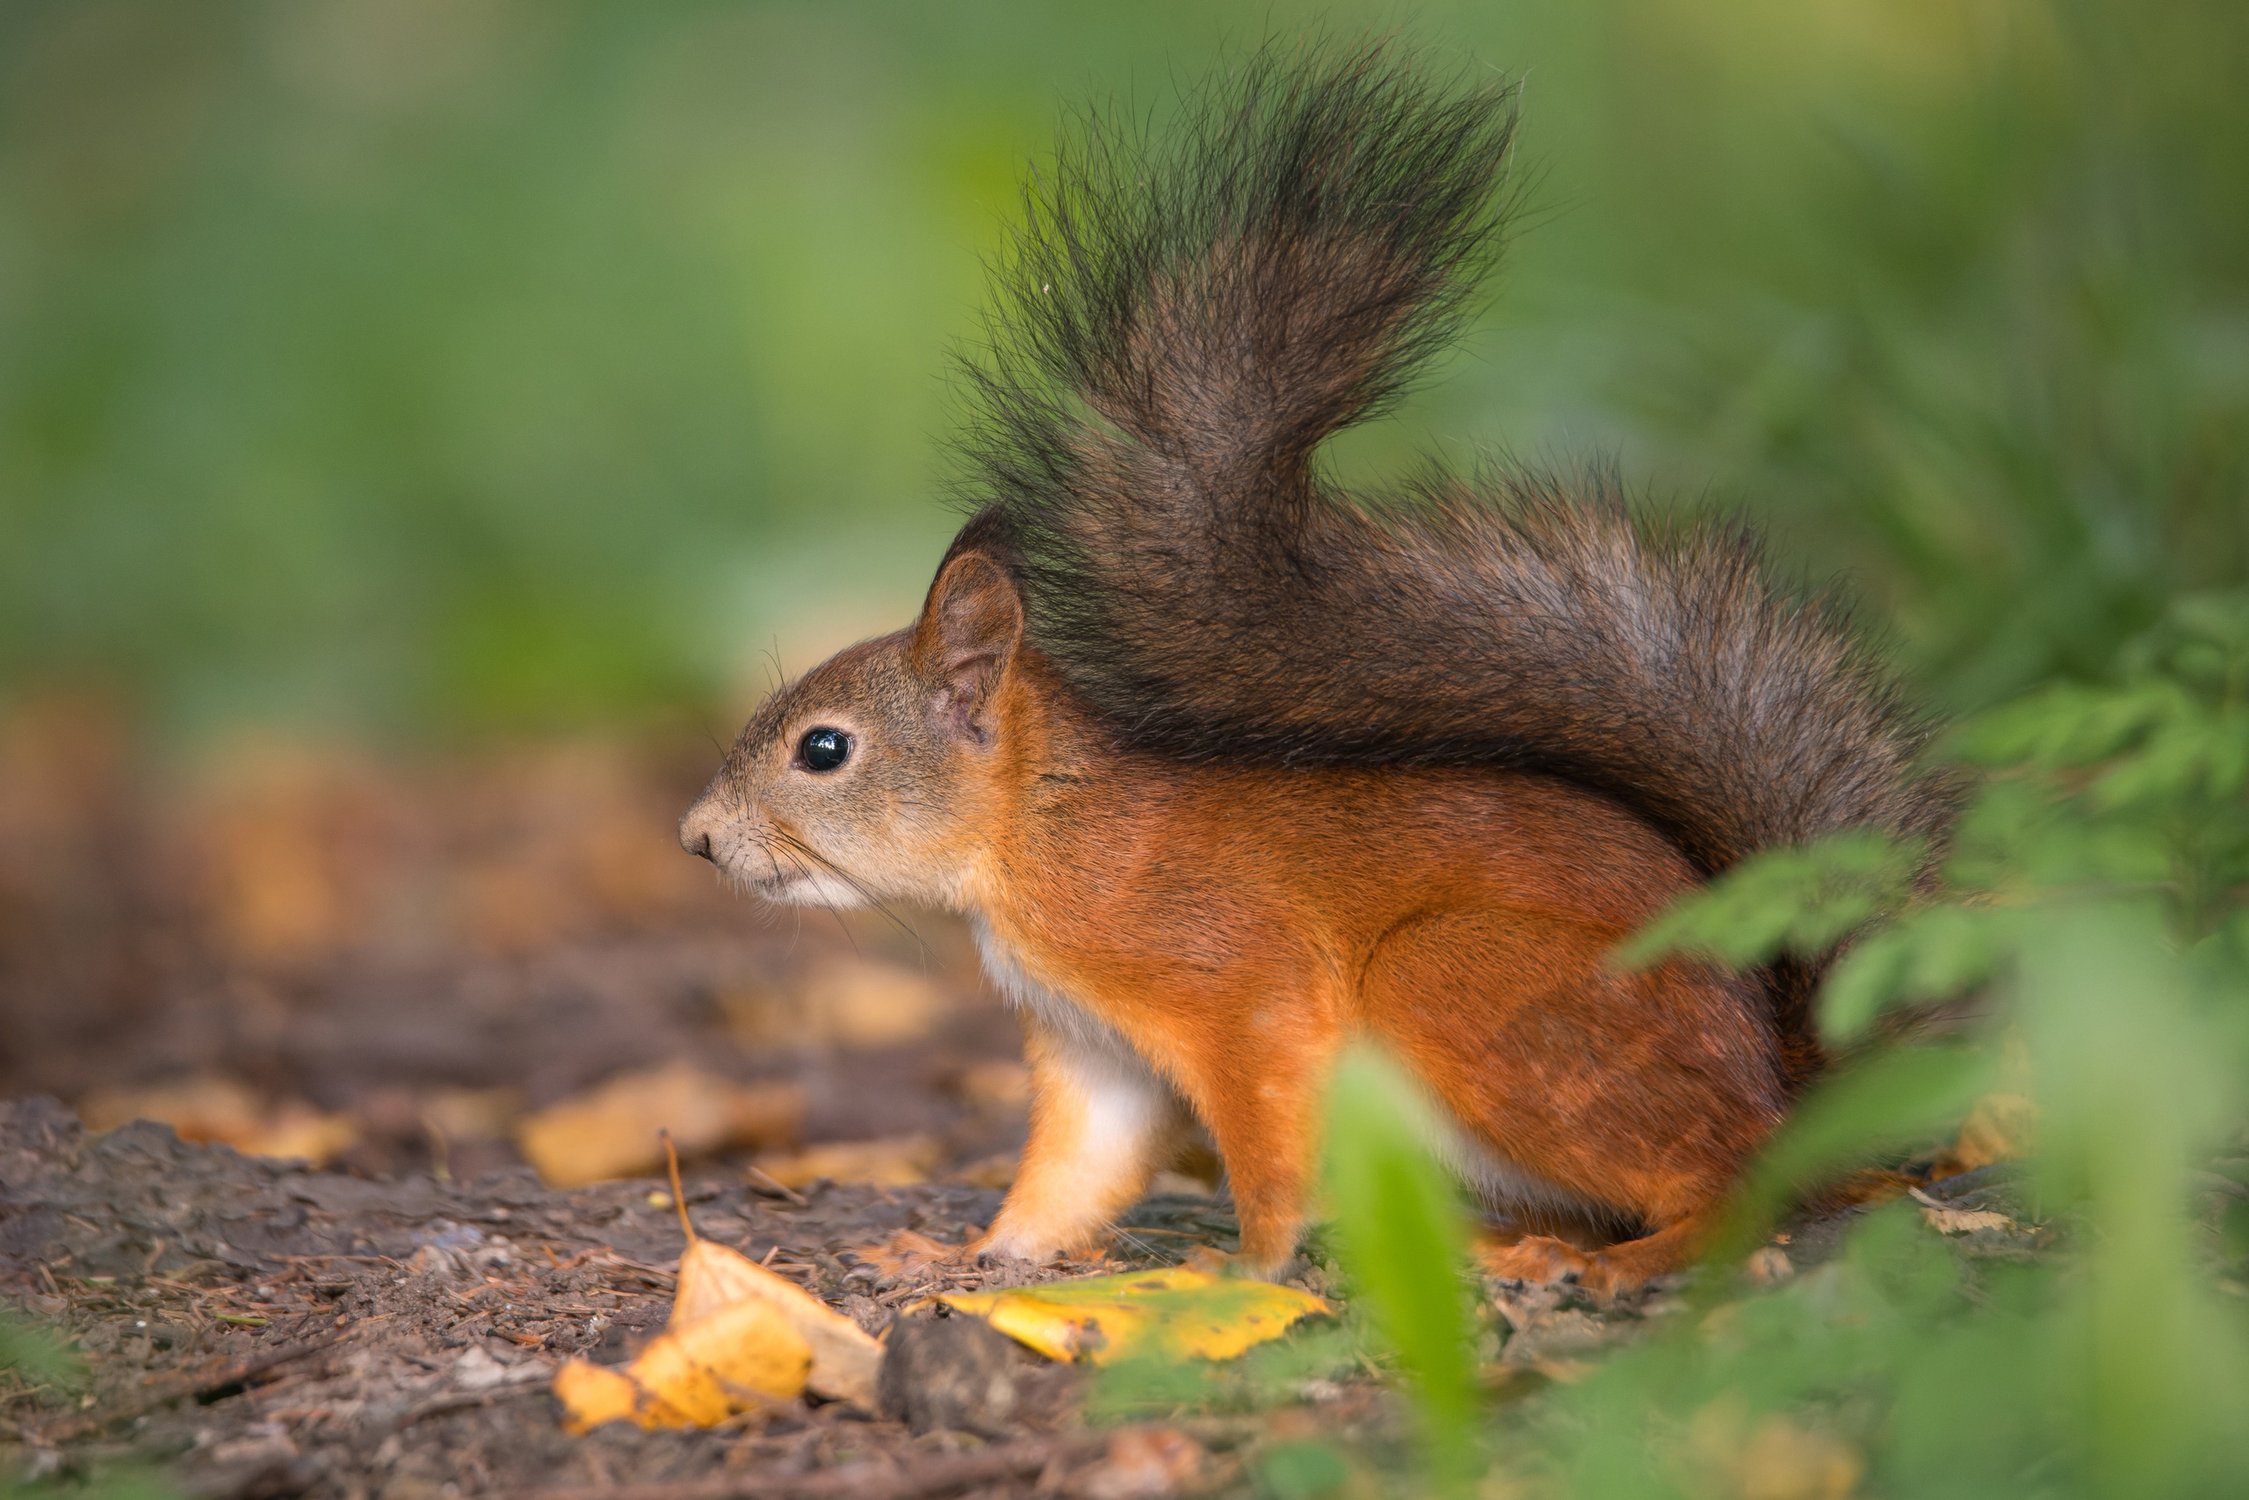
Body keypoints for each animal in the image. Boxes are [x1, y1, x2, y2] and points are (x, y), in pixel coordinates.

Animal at [670, 46, 1952, 1295]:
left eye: (822, 749)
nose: (696, 839)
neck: (1038, 835)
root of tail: (1784, 1085)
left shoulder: (1237, 985)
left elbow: (1259, 1137)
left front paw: (1246, 1268)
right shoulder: (1092, 1050)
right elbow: (1069, 1174)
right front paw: (964, 1254)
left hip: (1463, 988)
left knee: (1725, 1182)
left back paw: (1627, 1257)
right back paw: (1504, 1247)